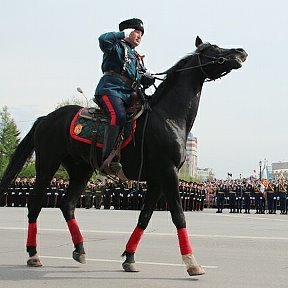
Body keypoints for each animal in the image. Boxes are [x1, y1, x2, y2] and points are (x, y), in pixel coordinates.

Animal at [0, 36, 248, 276]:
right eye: (214, 48)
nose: (241, 51)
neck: (167, 117)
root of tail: (46, 118)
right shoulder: (168, 172)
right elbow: (178, 215)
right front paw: (191, 262)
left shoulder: (157, 178)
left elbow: (145, 216)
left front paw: (129, 257)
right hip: (47, 164)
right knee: (35, 205)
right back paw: (33, 254)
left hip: (81, 170)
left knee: (67, 205)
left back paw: (80, 249)